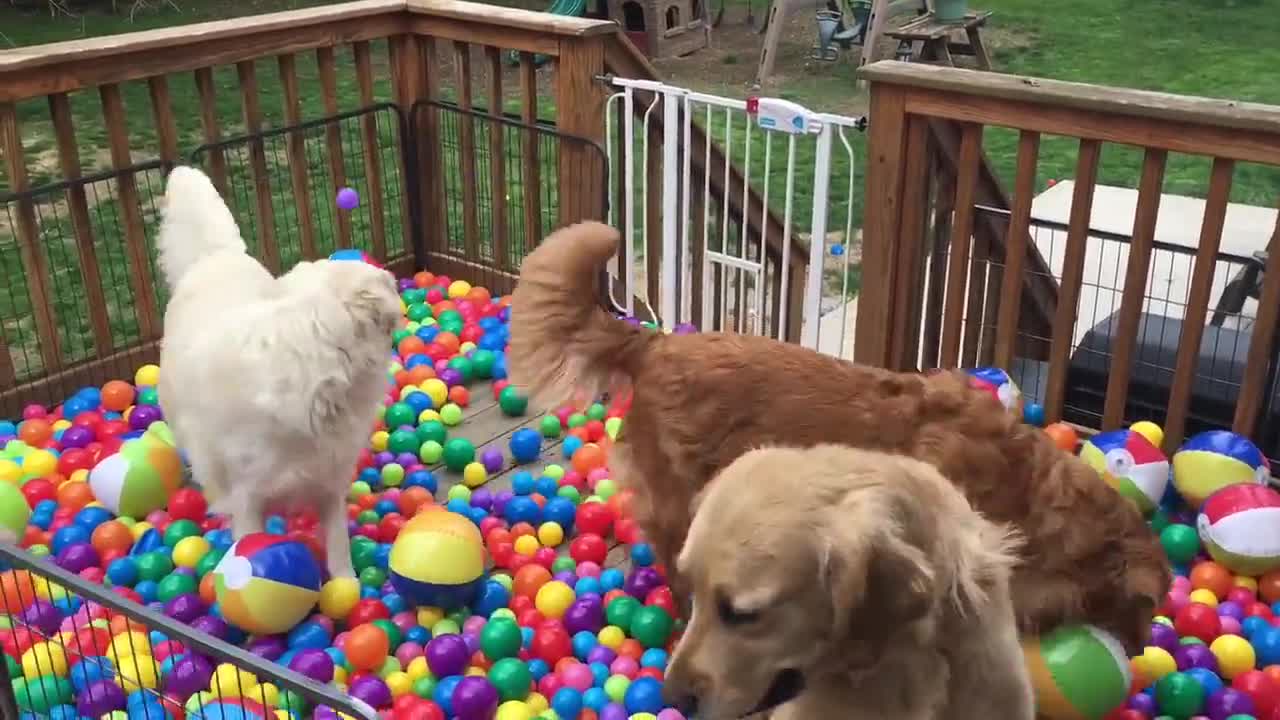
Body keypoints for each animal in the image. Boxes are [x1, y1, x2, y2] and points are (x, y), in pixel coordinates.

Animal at [158, 163, 399, 576]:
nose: (395, 281)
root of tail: (215, 256)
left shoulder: (330, 480)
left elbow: (339, 553)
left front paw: (347, 583)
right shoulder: (247, 500)